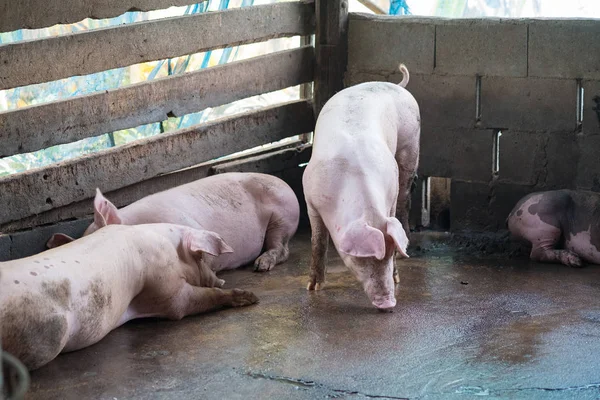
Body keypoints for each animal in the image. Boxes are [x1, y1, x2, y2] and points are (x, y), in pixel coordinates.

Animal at [302, 64, 420, 310]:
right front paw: (313, 288)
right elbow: (318, 242)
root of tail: (397, 86)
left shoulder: (390, 196)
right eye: (363, 258)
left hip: (411, 145)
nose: (388, 302)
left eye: (390, 253)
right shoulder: (310, 199)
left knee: (406, 197)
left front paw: (397, 275)